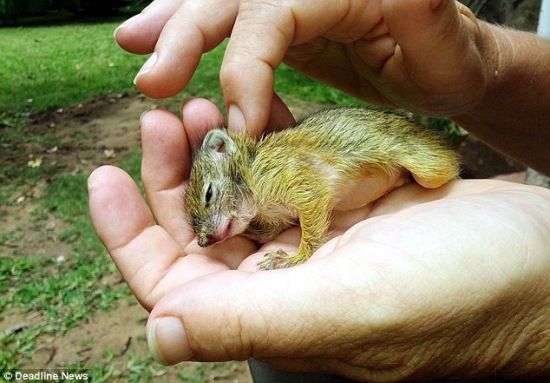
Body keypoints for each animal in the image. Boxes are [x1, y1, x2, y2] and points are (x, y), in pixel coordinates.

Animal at [185, 107, 462, 270]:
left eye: (208, 194)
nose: (203, 242)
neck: (253, 172)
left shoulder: (299, 180)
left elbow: (311, 224)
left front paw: (293, 258)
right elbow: (269, 232)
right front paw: (252, 234)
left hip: (427, 167)